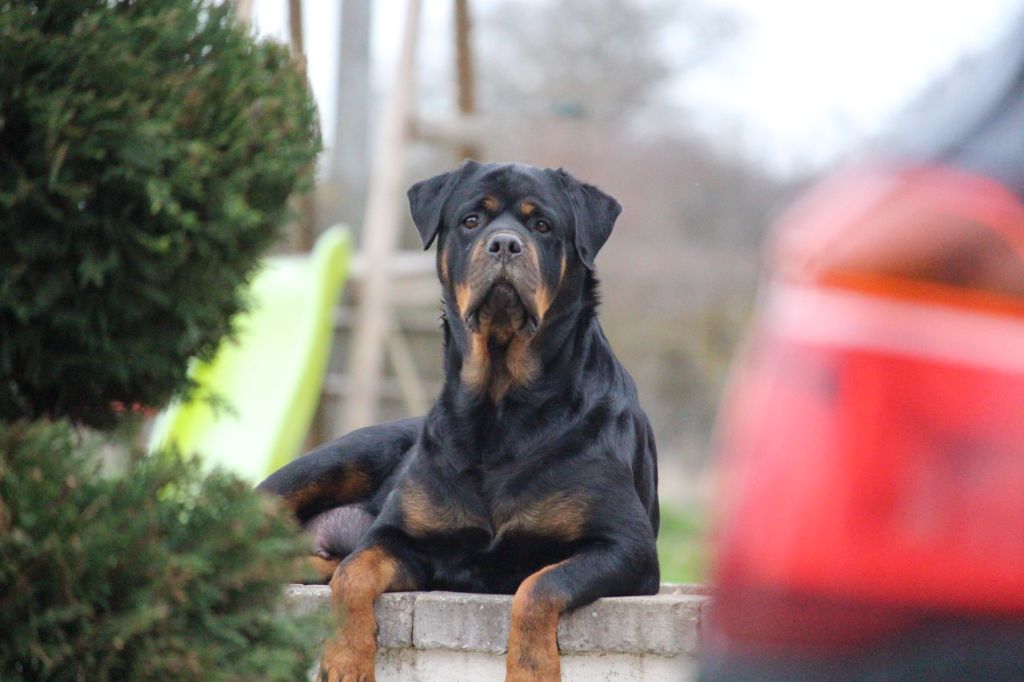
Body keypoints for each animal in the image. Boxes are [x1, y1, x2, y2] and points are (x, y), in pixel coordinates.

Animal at [256, 160, 655, 679]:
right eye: (471, 220)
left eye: (542, 225)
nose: (504, 243)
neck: (500, 408)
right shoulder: (399, 538)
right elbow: (354, 572)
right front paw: (346, 658)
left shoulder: (626, 546)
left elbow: (540, 586)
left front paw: (531, 668)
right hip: (323, 465)